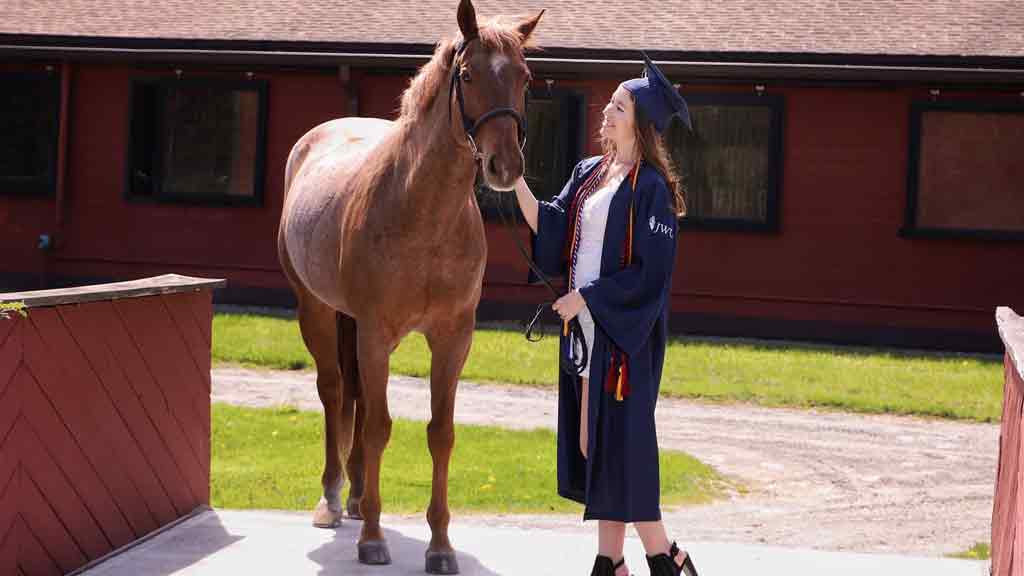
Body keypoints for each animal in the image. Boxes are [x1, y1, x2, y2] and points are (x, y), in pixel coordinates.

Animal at [272, 0, 544, 569]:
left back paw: (356, 497)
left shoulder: (453, 339)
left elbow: (440, 434)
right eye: (468, 74)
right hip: (316, 310)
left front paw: (440, 546)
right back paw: (333, 499)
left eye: (525, 77)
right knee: (335, 391)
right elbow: (378, 427)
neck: (423, 214)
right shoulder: (377, 334)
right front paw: (373, 540)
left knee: (354, 394)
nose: (505, 166)